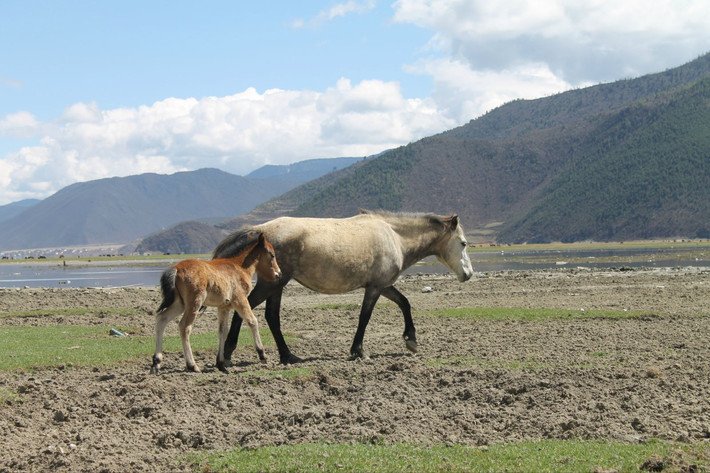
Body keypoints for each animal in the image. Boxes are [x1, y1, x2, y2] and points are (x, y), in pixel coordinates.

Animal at [214, 208, 476, 364]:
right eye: (463, 243)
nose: (469, 274)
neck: (394, 236)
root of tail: (261, 231)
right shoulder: (375, 288)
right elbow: (364, 317)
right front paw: (359, 351)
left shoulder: (383, 285)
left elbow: (404, 303)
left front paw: (411, 340)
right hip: (272, 284)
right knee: (249, 309)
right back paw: (228, 354)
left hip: (277, 285)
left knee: (271, 316)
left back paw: (289, 356)